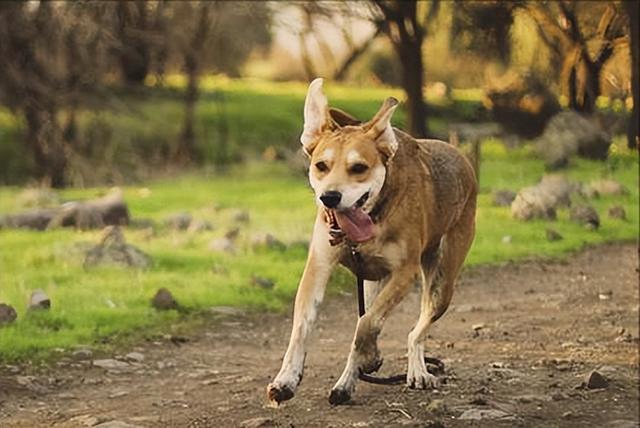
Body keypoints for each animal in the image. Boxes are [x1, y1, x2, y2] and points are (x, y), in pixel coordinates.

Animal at [264, 79, 476, 404]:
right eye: (321, 165)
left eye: (359, 168)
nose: (330, 197)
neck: (372, 218)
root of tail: (461, 156)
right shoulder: (319, 266)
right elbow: (302, 326)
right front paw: (286, 379)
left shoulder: (404, 273)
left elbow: (367, 323)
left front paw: (369, 356)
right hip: (372, 281)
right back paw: (347, 383)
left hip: (442, 282)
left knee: (416, 331)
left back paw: (413, 370)